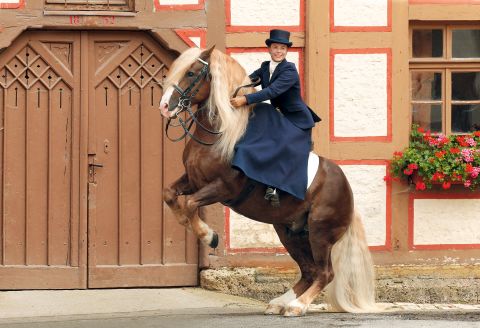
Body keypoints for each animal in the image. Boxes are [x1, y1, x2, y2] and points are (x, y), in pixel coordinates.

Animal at [158, 46, 378, 318]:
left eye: (191, 73)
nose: (164, 106)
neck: (221, 133)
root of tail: (347, 190)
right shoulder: (193, 180)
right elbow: (169, 194)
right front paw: (189, 224)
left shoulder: (222, 188)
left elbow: (189, 204)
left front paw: (208, 236)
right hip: (290, 233)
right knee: (309, 271)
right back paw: (280, 303)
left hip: (320, 232)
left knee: (325, 273)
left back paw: (297, 306)